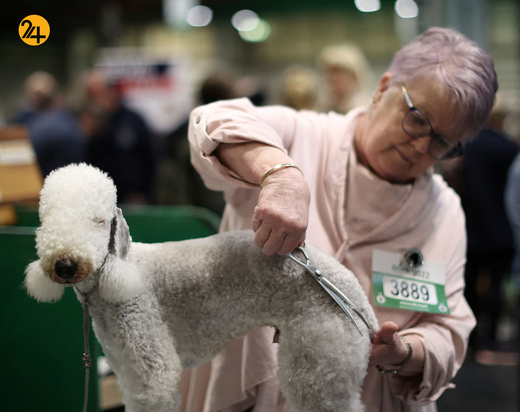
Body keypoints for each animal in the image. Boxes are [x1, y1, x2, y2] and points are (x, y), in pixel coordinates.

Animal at [24, 163, 378, 412]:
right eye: (45, 219)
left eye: (99, 221)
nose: (65, 265)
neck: (113, 277)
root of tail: (358, 298)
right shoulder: (126, 370)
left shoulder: (153, 371)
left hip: (319, 363)